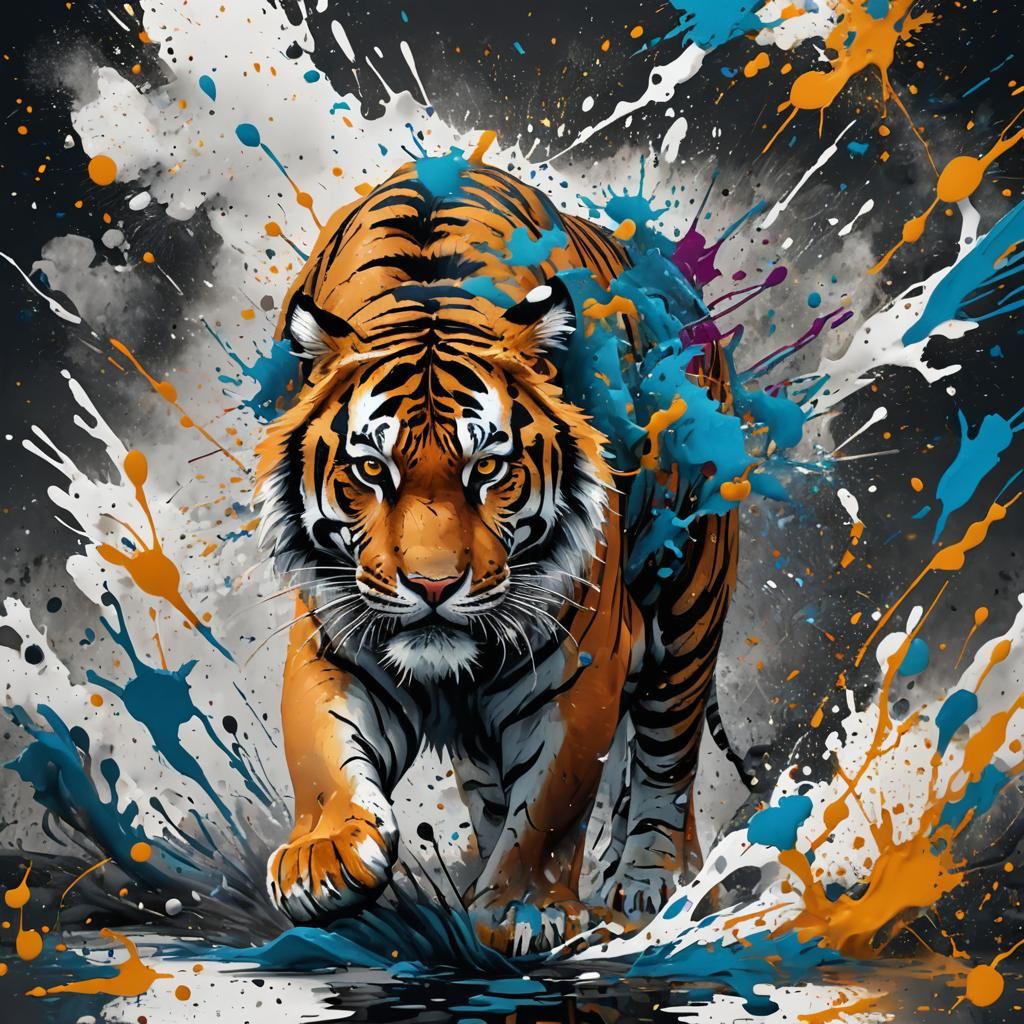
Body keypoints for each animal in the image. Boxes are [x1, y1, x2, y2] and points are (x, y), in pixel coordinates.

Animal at [254, 154, 740, 954]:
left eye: (488, 469)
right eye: (371, 470)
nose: (433, 586)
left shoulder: (582, 659)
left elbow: (552, 801)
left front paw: (524, 908)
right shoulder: (337, 635)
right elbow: (321, 749)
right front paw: (322, 858)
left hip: (689, 596)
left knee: (667, 757)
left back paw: (655, 883)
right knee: (495, 785)